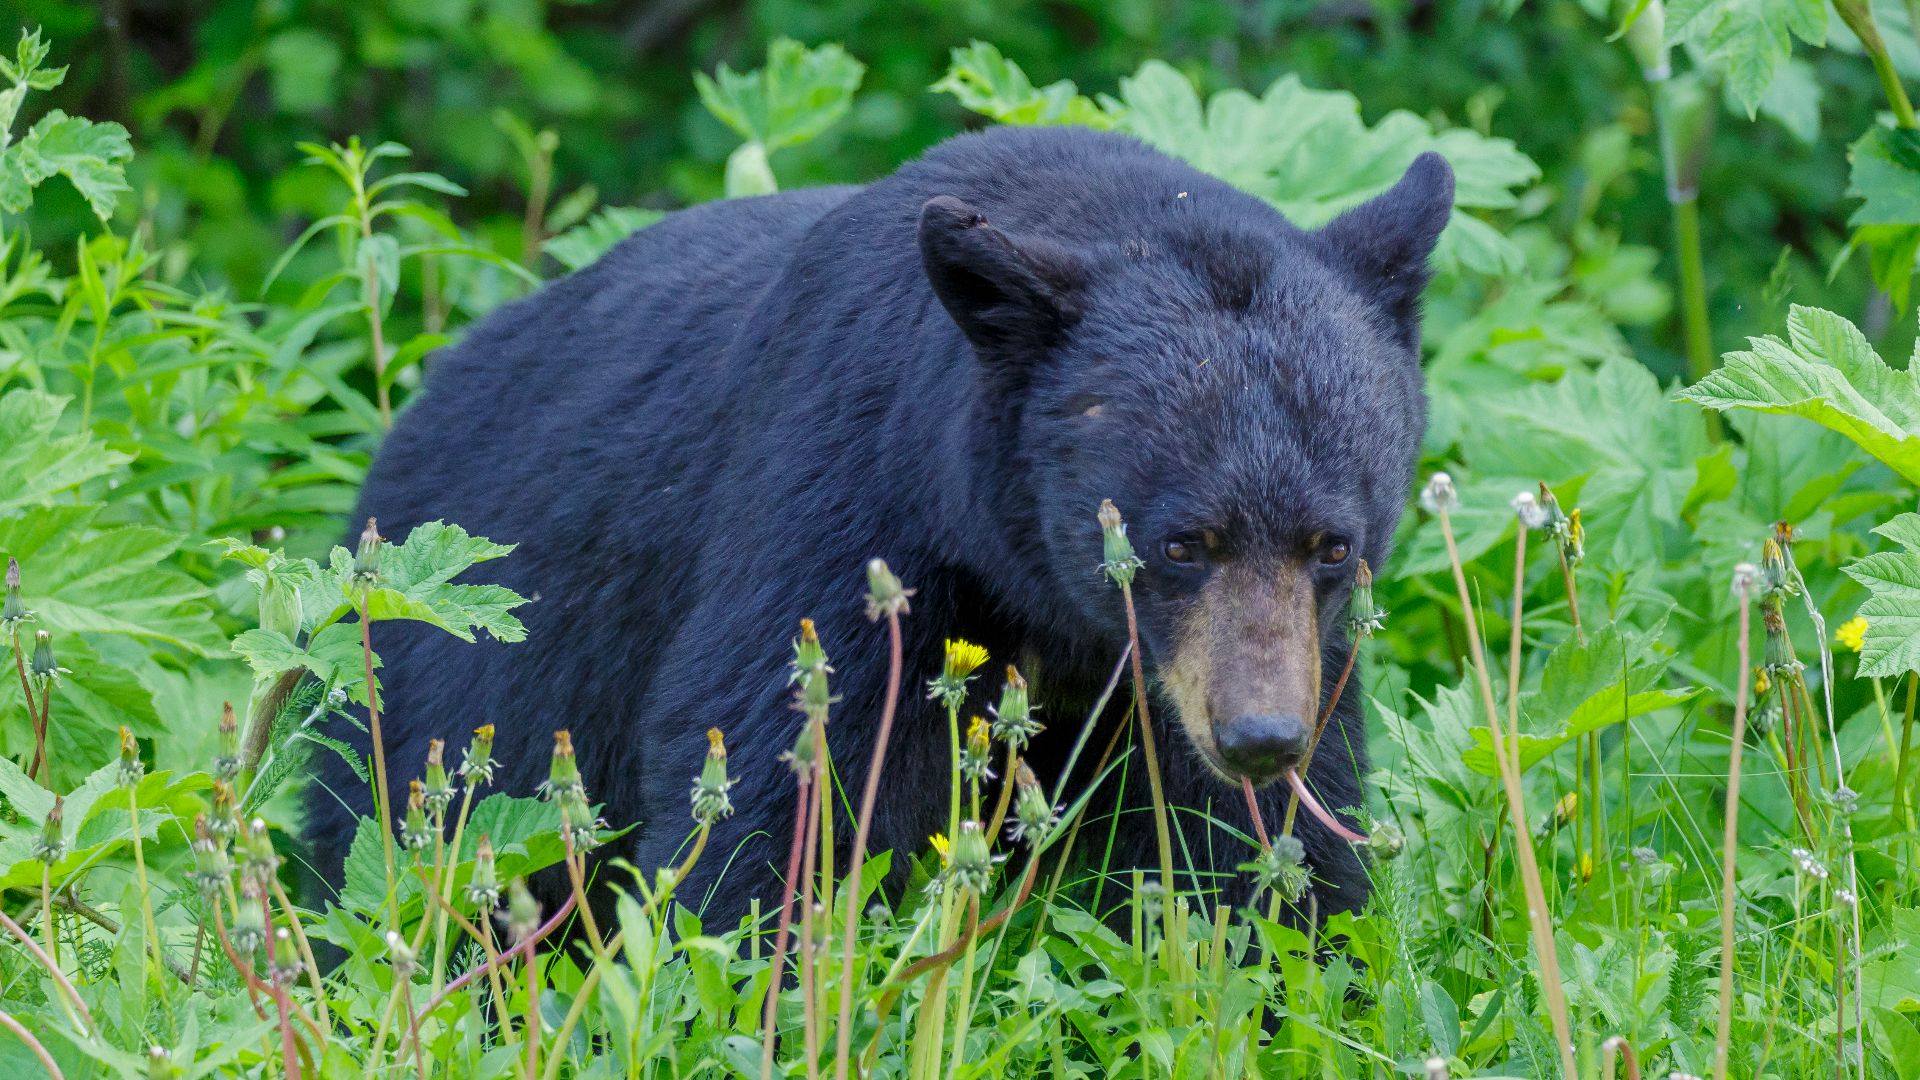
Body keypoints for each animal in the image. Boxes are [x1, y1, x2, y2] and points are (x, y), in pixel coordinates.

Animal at [305, 124, 1452, 929]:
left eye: (1334, 544)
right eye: (1181, 542)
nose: (1259, 736)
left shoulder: (1234, 664)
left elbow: (1256, 846)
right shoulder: (844, 497)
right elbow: (780, 769)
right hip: (449, 671)